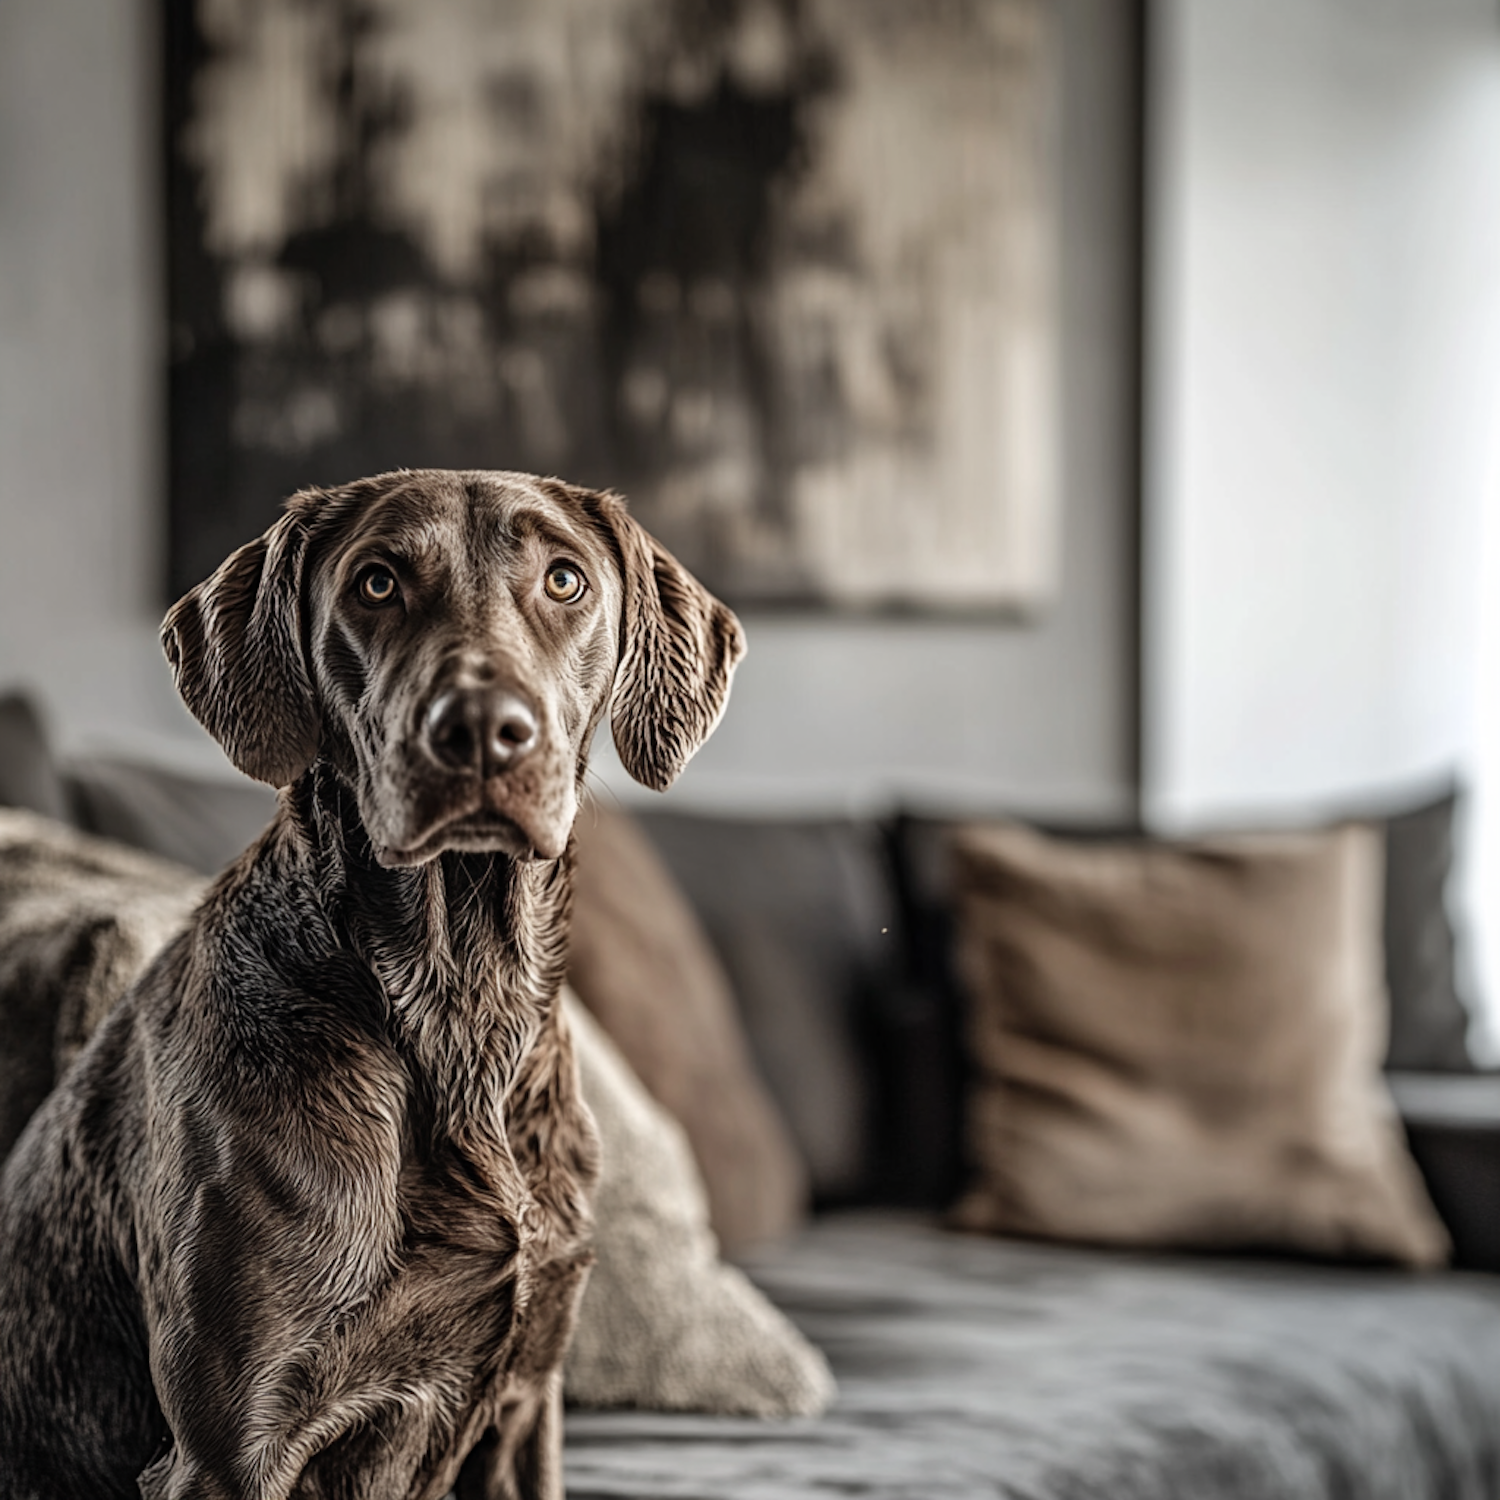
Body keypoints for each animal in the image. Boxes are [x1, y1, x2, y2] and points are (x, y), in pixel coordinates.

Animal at [0, 462, 747, 1494]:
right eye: (378, 583)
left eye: (565, 580)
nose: (483, 729)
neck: (459, 1010)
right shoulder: (228, 1447)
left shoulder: (524, 1407)